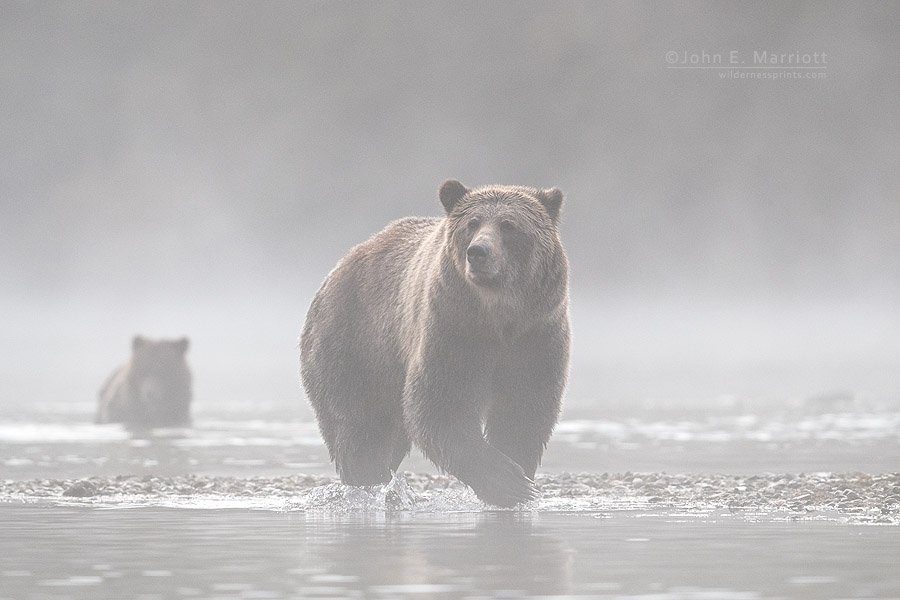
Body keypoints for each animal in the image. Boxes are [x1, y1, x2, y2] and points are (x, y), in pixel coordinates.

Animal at [300, 180, 570, 507]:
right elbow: (441, 407)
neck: (497, 318)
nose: (478, 252)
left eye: (509, 225)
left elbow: (524, 409)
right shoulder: (452, 332)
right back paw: (367, 481)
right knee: (360, 426)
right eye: (472, 223)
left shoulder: (535, 336)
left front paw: (517, 476)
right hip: (354, 343)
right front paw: (508, 482)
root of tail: (338, 267)